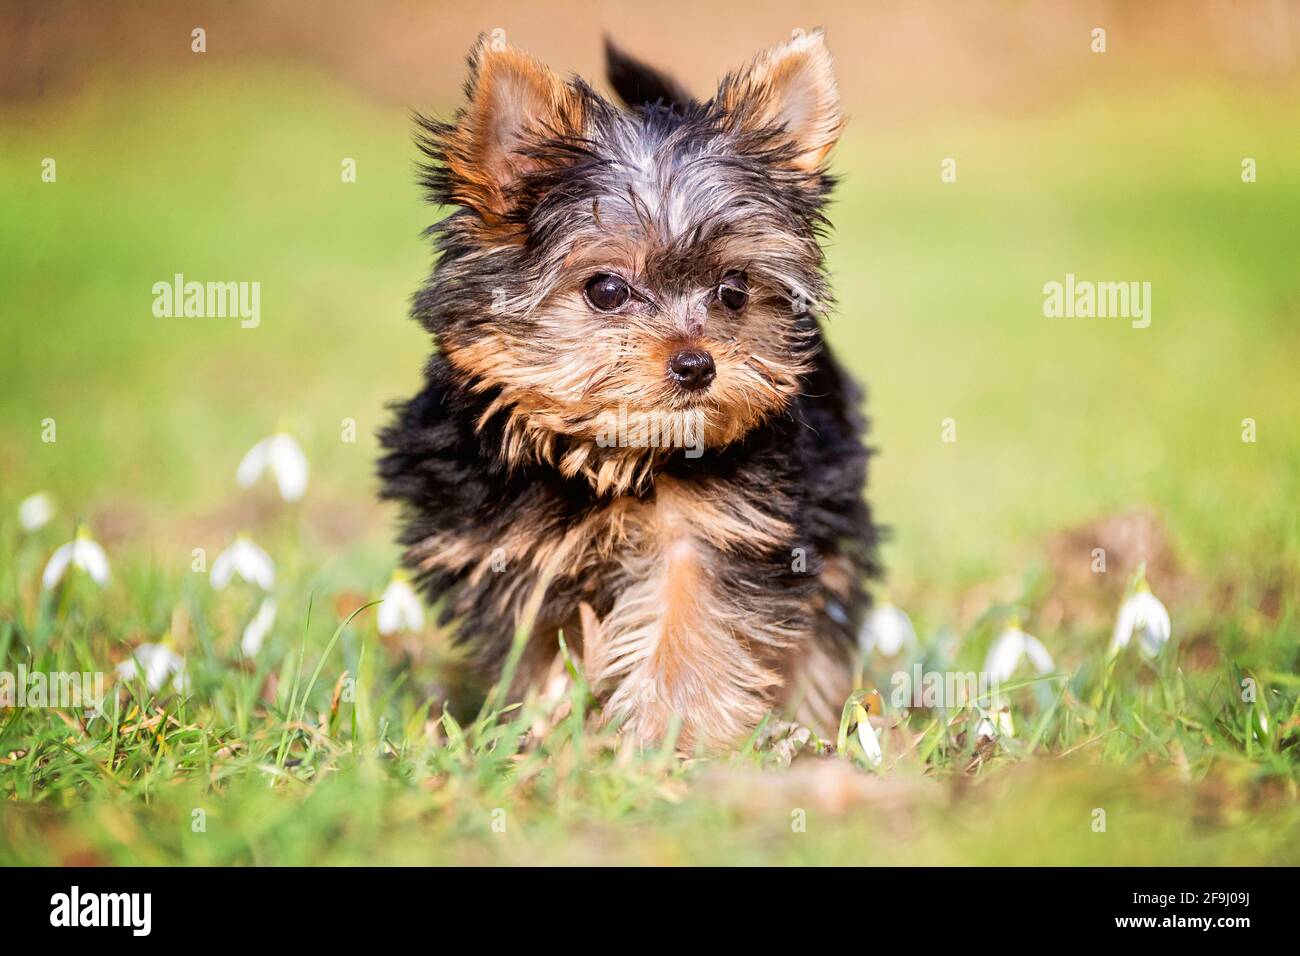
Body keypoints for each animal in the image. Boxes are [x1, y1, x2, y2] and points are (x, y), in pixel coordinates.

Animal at [379, 27, 878, 749]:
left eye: (733, 290)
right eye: (607, 289)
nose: (697, 365)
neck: (612, 453)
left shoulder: (722, 527)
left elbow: (689, 622)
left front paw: (666, 736)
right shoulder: (506, 545)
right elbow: (543, 646)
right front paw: (551, 732)